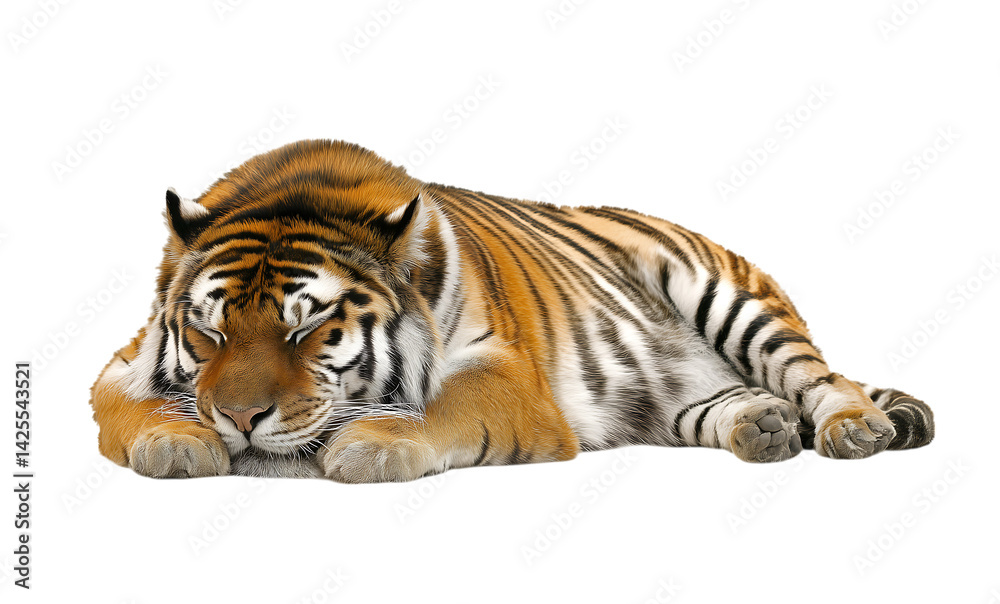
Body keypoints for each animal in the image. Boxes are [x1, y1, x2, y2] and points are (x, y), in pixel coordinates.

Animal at [89, 139, 934, 481]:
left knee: (820, 375)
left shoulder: (505, 373)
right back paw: (763, 427)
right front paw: (176, 442)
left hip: (727, 295)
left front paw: (370, 447)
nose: (238, 420)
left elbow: (441, 407)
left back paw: (853, 427)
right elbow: (137, 406)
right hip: (670, 397)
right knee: (718, 402)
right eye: (209, 330)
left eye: (308, 327)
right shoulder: (120, 366)